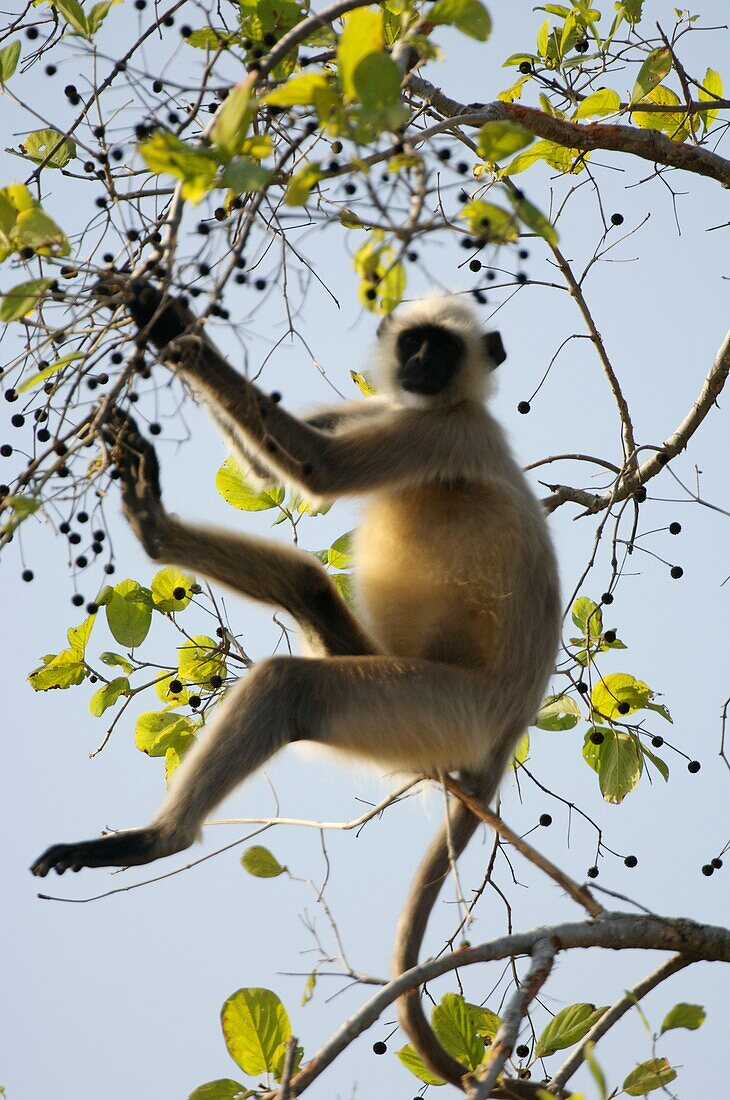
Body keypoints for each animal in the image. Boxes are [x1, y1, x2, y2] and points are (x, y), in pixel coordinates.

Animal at [31, 290, 560, 1091]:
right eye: (413, 345)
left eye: (442, 350)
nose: (420, 365)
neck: (453, 401)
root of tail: (508, 729)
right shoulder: (393, 406)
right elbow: (270, 468)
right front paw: (159, 323)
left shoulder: (443, 429)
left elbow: (318, 465)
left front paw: (163, 316)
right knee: (307, 585)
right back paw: (155, 527)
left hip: (435, 707)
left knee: (289, 685)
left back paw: (156, 840)